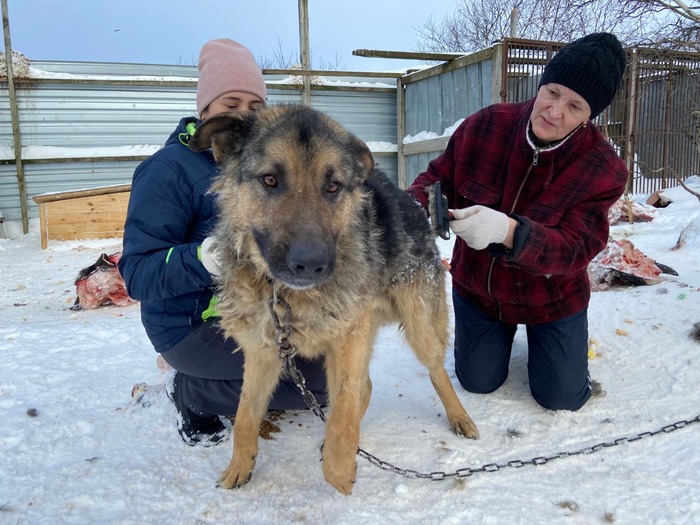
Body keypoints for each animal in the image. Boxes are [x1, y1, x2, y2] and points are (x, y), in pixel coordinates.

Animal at [189, 104, 478, 494]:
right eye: (270, 180)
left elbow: (343, 407)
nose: (311, 264)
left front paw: (339, 468)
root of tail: (415, 207)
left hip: (417, 325)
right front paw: (240, 465)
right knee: (365, 385)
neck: (286, 295)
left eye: (333, 186)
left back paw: (459, 417)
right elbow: (246, 414)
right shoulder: (263, 350)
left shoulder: (346, 337)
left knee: (433, 370)